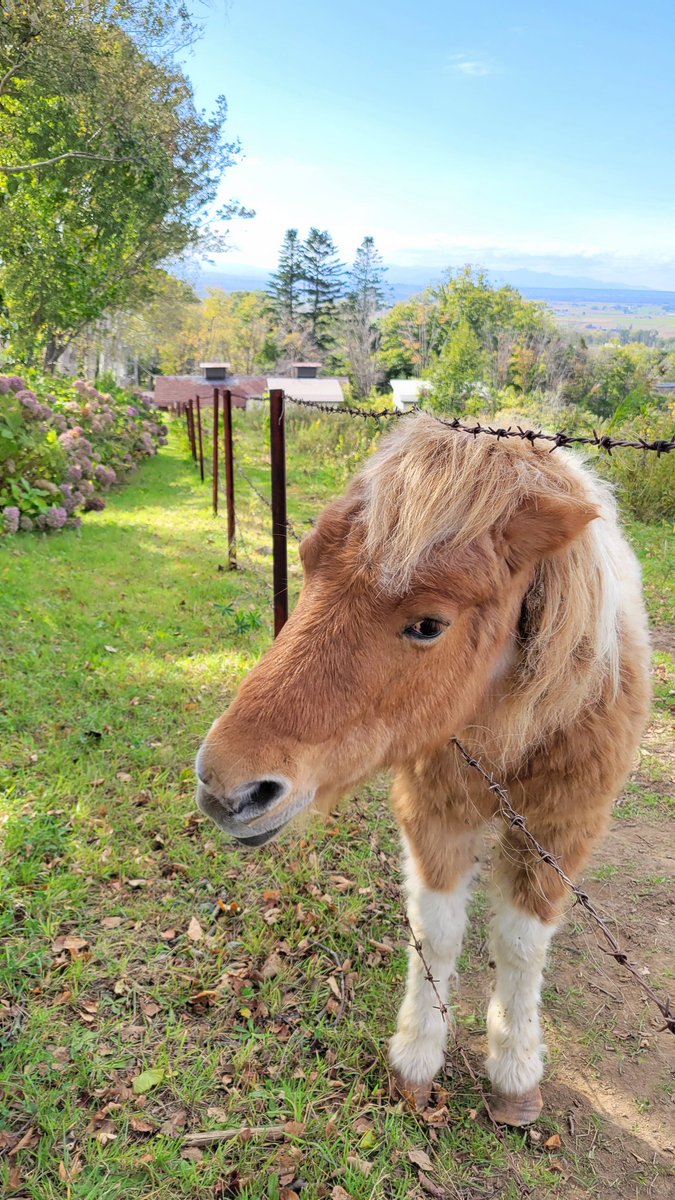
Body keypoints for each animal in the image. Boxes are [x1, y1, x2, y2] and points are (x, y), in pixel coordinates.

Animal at [196, 414, 651, 1126]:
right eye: (306, 565)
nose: (226, 788)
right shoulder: (435, 813)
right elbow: (435, 933)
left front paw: (515, 1072)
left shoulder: (561, 830)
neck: (509, 724)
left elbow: (521, 944)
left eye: (428, 624)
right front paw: (416, 1058)